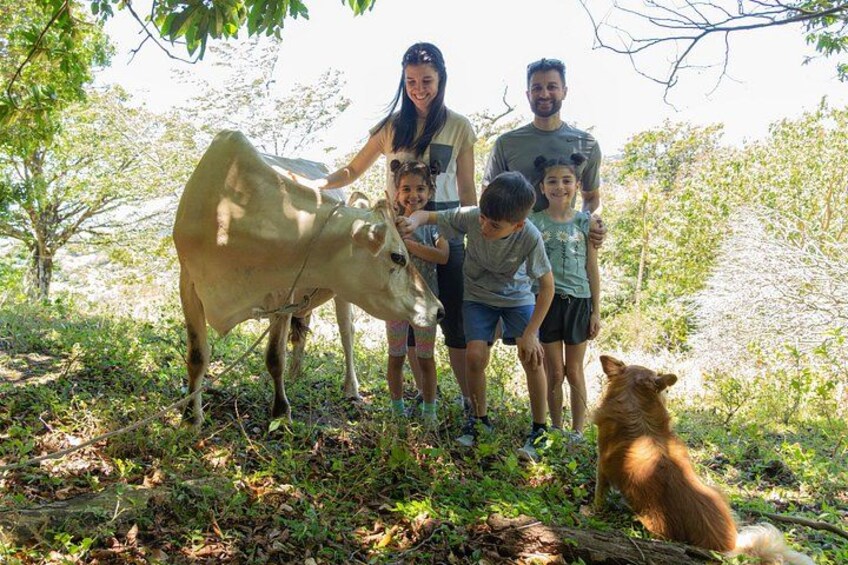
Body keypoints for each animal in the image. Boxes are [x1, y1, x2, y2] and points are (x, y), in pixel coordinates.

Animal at [173, 131, 443, 428]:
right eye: (397, 257)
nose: (438, 309)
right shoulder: (188, 283)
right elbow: (197, 356)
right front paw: (191, 416)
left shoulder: (282, 292)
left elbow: (274, 356)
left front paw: (281, 413)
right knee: (302, 329)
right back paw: (296, 373)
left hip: (341, 296)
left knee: (346, 333)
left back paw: (351, 389)